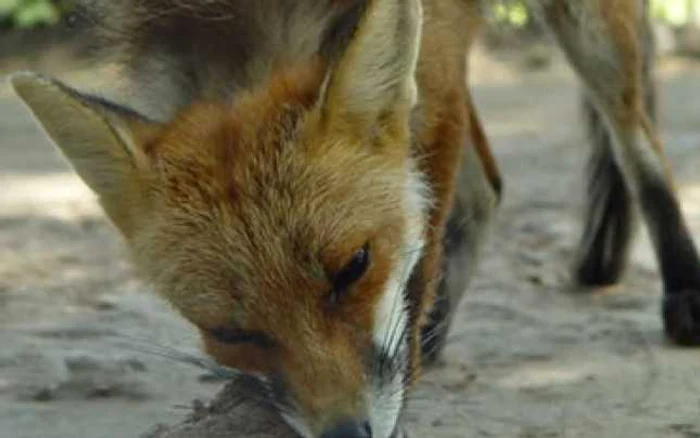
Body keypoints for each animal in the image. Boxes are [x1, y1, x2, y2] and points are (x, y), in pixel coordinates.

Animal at [8, 0, 700, 436]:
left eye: (353, 268)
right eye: (229, 331)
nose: (344, 434)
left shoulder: (437, 55)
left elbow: (422, 240)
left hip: (587, 29)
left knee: (635, 139)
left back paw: (681, 289)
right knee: (488, 189)